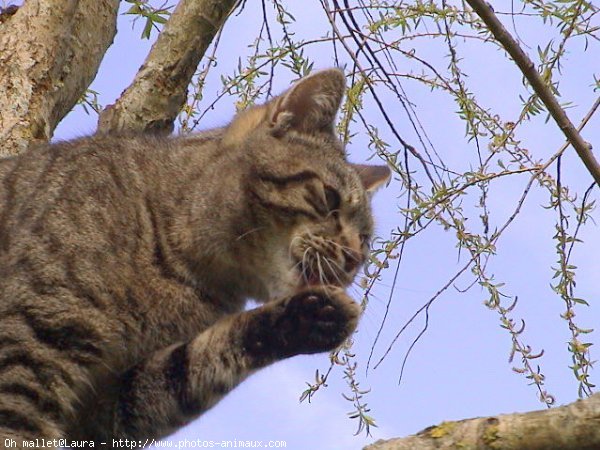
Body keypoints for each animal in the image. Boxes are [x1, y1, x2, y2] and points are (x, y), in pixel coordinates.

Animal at [0, 68, 390, 448]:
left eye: (365, 240)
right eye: (330, 197)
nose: (354, 258)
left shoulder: (110, 401)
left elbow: (195, 364)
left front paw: (309, 318)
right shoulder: (31, 338)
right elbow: (17, 429)